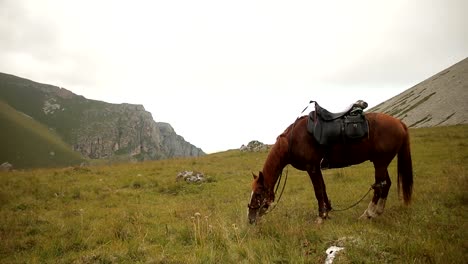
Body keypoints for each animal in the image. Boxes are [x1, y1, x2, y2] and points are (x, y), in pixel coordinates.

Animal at [247, 110, 412, 224]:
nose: (250, 219)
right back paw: (378, 212)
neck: (293, 140)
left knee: (379, 186)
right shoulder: (317, 168)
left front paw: (321, 217)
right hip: (381, 163)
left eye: (258, 194)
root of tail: (399, 123)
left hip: (380, 163)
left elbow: (318, 191)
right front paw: (327, 213)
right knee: (386, 184)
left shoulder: (311, 168)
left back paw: (368, 213)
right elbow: (323, 189)